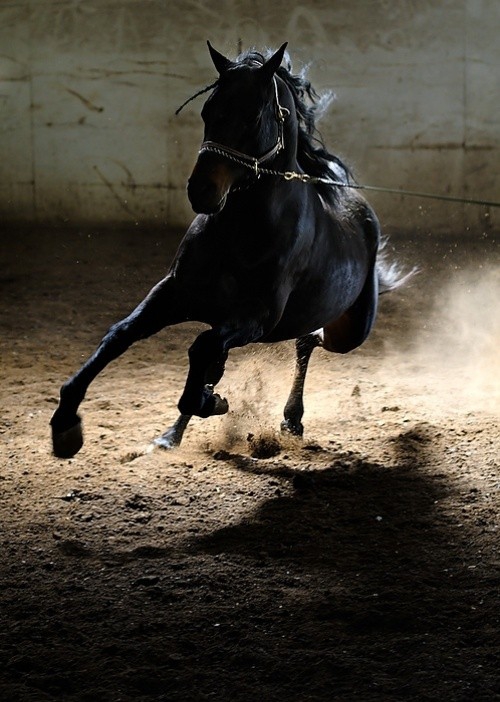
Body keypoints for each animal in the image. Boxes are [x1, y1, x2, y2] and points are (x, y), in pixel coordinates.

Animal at [50, 42, 410, 458]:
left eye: (253, 115)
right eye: (207, 110)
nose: (200, 190)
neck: (240, 230)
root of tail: (363, 212)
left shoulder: (257, 318)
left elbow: (201, 353)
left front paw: (214, 401)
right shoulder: (174, 295)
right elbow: (120, 335)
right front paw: (65, 424)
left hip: (350, 331)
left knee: (305, 340)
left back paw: (290, 419)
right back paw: (174, 435)